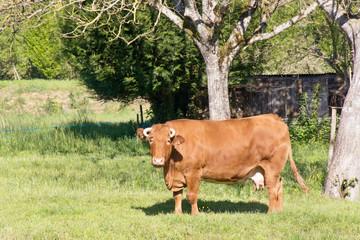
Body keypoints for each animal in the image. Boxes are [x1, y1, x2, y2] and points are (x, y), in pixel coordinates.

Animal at [136, 114, 308, 216]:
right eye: (151, 140)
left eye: (167, 141)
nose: (158, 160)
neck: (171, 167)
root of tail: (274, 117)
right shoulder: (177, 177)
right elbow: (177, 195)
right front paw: (177, 214)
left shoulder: (193, 173)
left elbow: (191, 196)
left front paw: (195, 215)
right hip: (270, 169)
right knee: (279, 185)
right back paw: (279, 211)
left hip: (272, 167)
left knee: (272, 189)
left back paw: (271, 212)